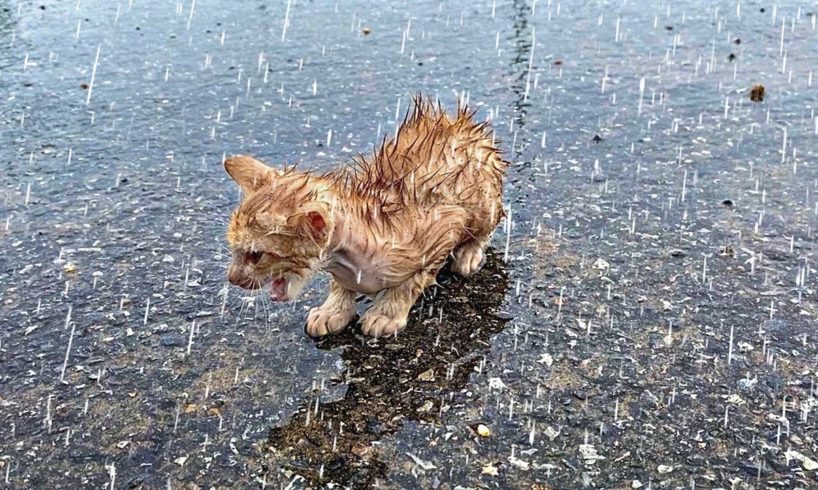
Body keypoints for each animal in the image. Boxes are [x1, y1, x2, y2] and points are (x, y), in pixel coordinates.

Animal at [223, 97, 504, 338]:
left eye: (255, 255)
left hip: (483, 198)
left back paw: (469, 253)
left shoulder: (443, 224)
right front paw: (332, 310)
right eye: (233, 250)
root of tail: (462, 123)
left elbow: (412, 281)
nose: (232, 278)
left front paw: (386, 313)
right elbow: (340, 285)